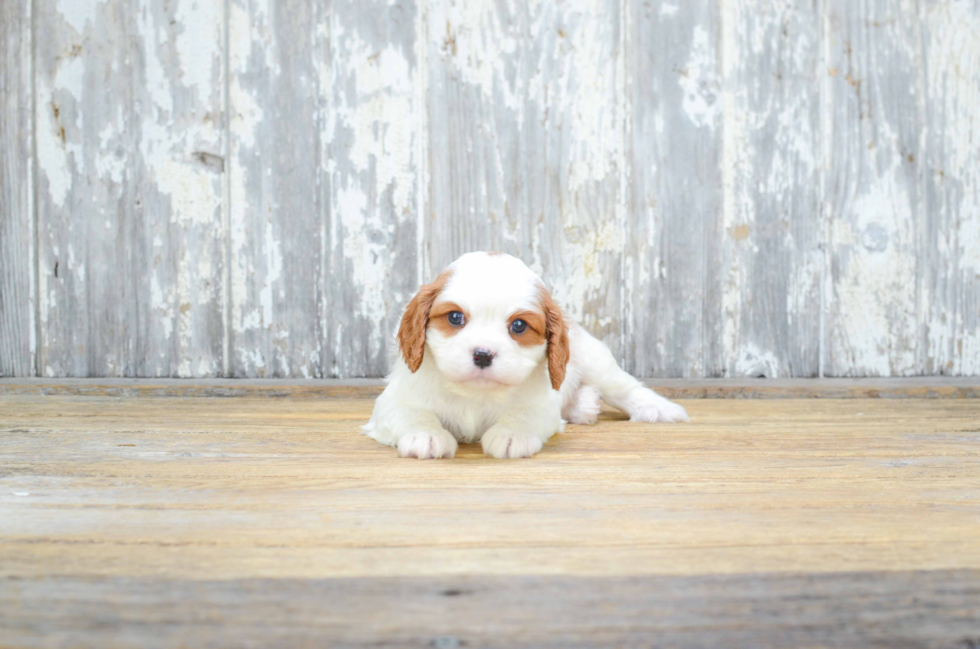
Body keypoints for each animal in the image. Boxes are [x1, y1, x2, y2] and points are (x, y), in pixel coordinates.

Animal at [362, 251, 688, 458]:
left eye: (518, 325)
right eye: (455, 317)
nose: (483, 354)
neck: (474, 393)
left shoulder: (542, 404)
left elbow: (523, 415)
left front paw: (511, 435)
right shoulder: (395, 400)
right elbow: (413, 412)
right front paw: (426, 435)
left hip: (596, 361)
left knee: (626, 388)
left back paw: (659, 409)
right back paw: (584, 405)